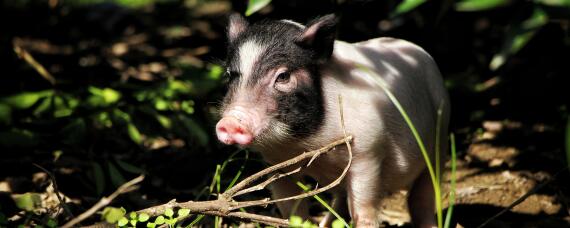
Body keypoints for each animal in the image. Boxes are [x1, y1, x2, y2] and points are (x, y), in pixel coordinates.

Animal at [213, 14, 448, 228]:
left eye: (283, 76)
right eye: (230, 74)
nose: (231, 122)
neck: (305, 144)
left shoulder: (368, 151)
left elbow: (363, 209)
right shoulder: (275, 163)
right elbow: (292, 210)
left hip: (440, 140)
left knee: (422, 198)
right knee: (340, 202)